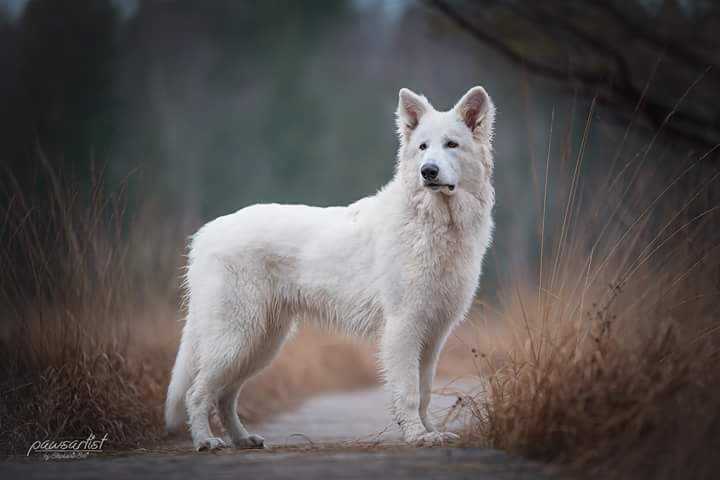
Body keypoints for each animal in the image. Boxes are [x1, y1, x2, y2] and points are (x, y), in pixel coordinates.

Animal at [166, 86, 498, 450]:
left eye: (451, 144)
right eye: (423, 147)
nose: (428, 171)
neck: (434, 220)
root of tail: (206, 234)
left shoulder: (434, 334)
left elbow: (425, 392)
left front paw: (431, 432)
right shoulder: (403, 327)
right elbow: (409, 393)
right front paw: (416, 435)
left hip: (261, 344)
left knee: (226, 396)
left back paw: (243, 440)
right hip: (236, 338)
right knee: (198, 393)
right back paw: (205, 441)